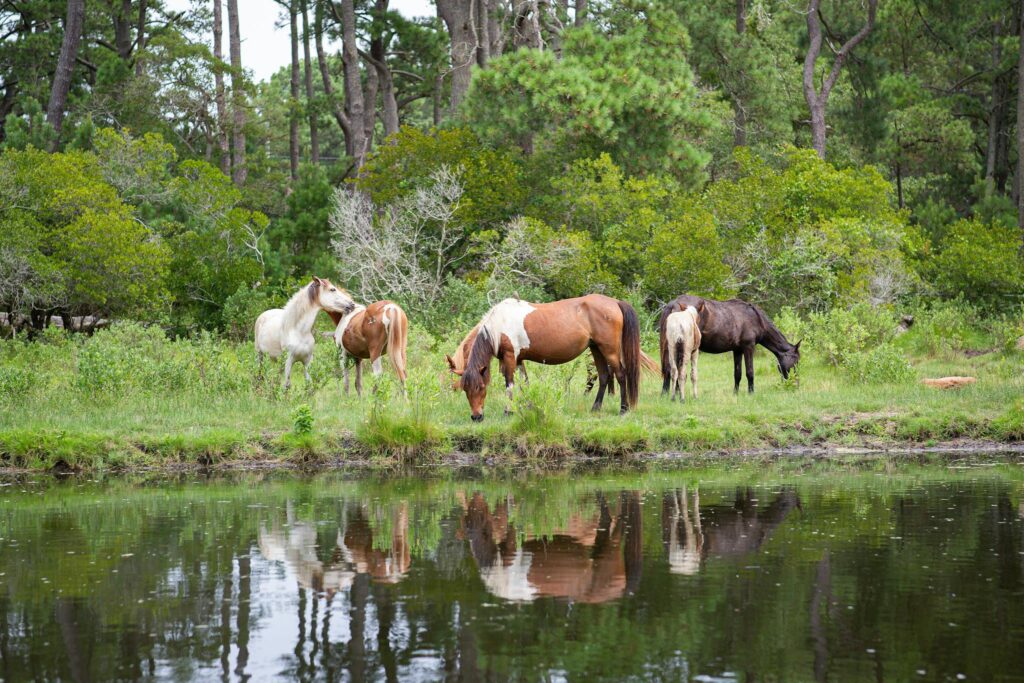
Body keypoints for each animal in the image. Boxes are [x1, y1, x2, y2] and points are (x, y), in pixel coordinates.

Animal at [448, 294, 638, 421]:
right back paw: (595, 408)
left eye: (481, 387)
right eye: (465, 389)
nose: (476, 417)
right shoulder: (518, 360)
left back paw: (623, 409)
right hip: (596, 349)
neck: (499, 324)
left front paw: (509, 411)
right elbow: (524, 383)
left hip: (609, 350)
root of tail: (615, 302)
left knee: (620, 375)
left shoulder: (510, 357)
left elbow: (509, 385)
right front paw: (529, 406)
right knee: (604, 376)